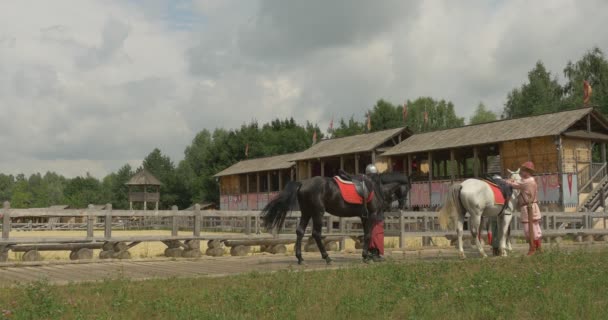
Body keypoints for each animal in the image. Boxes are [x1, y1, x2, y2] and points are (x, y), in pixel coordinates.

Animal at [260, 172, 408, 264]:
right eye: (407, 189)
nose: (404, 205)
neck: (376, 188)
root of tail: (302, 183)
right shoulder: (371, 215)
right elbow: (368, 235)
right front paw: (366, 256)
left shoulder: (364, 217)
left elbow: (367, 234)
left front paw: (370, 255)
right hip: (317, 213)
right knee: (316, 234)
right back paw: (327, 258)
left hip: (307, 213)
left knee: (300, 232)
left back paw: (300, 258)